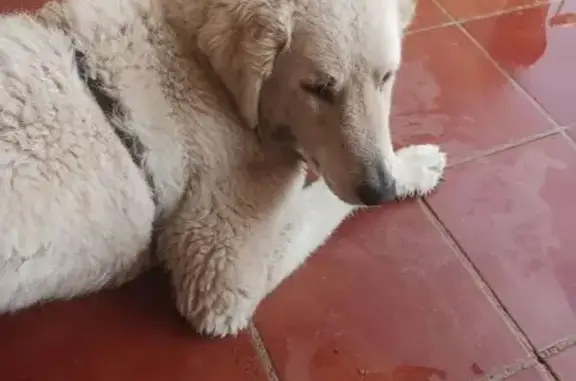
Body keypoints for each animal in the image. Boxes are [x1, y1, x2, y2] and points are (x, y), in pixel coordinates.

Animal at [0, 0, 446, 336]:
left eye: (386, 77)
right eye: (318, 88)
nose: (380, 191)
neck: (201, 65)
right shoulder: (222, 271)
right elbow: (319, 199)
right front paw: (414, 165)